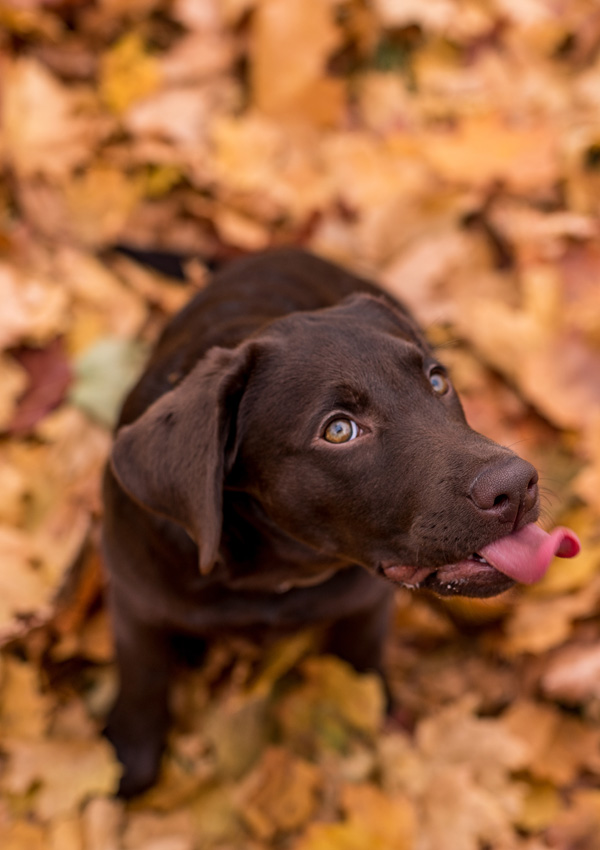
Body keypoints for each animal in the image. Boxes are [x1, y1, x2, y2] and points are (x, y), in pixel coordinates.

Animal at [101, 245, 580, 796]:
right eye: (338, 431)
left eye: (437, 381)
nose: (518, 486)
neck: (275, 574)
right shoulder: (135, 599)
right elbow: (143, 673)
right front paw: (129, 759)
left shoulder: (365, 603)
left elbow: (361, 659)